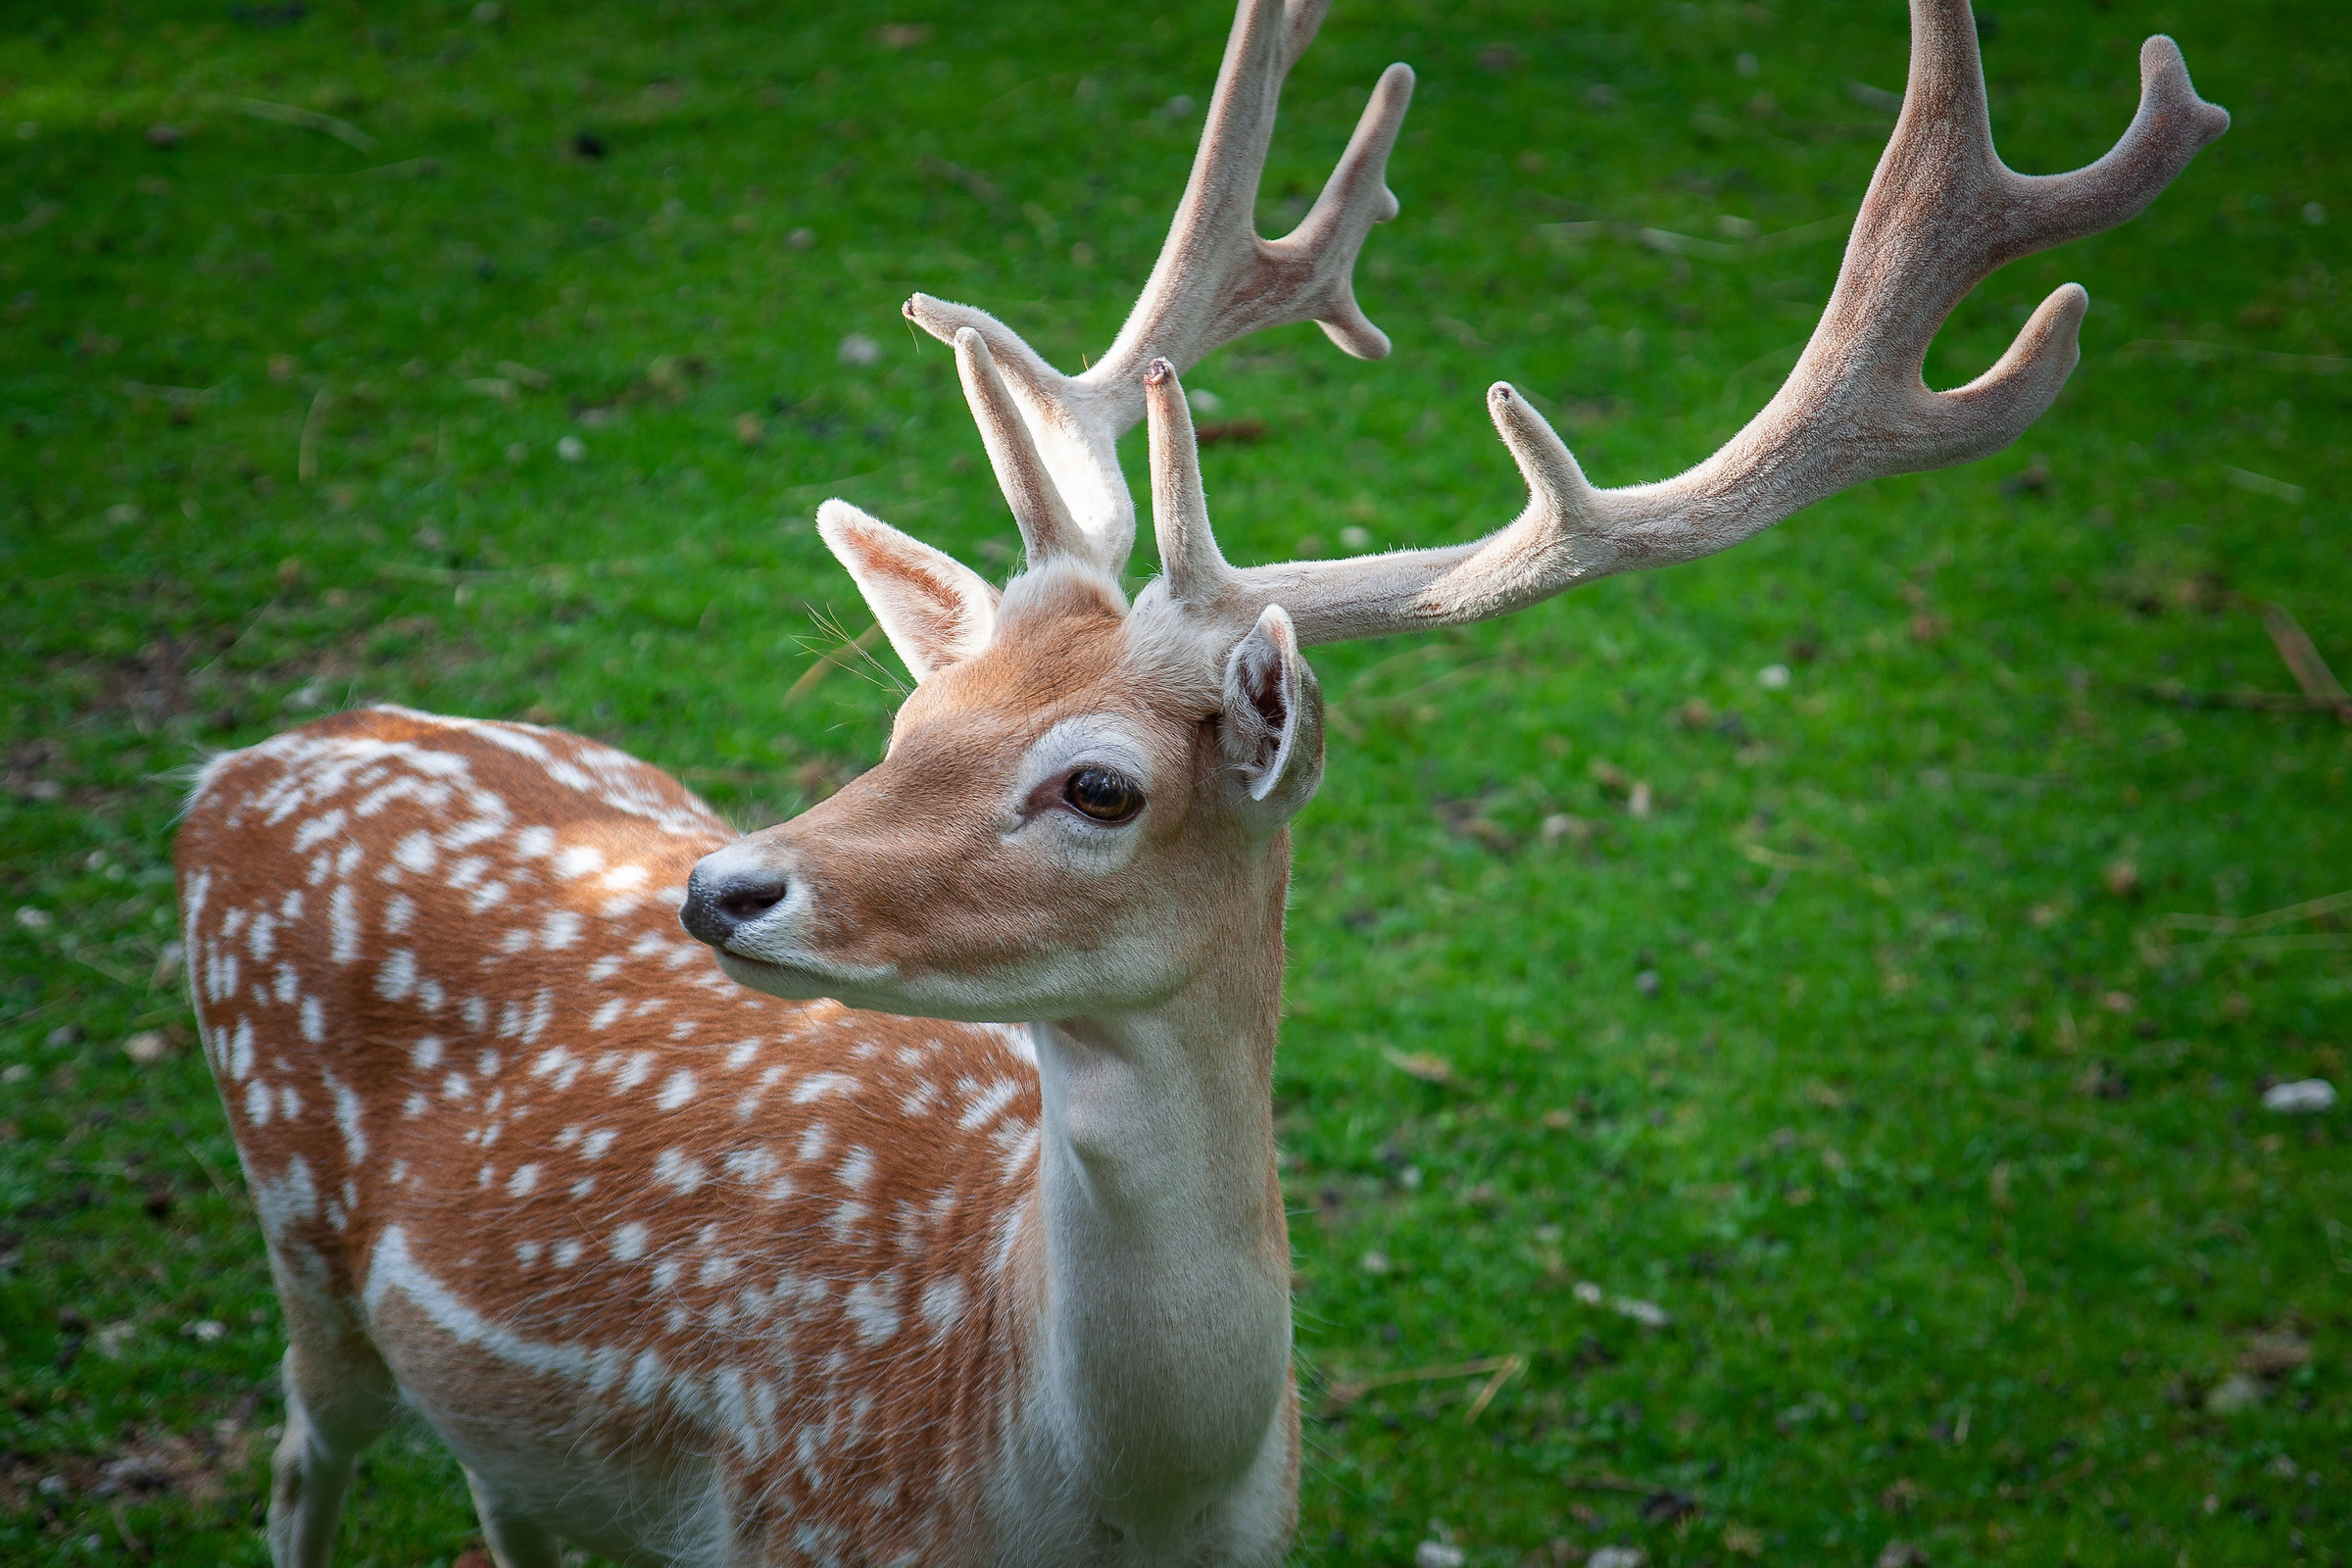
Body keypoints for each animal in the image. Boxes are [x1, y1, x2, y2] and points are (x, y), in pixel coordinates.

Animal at [173, 2, 2223, 1563]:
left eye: (1095, 788)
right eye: (913, 725)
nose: (722, 886)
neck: (1091, 1507)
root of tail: (253, 754)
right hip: (299, 1254)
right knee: (298, 1464)